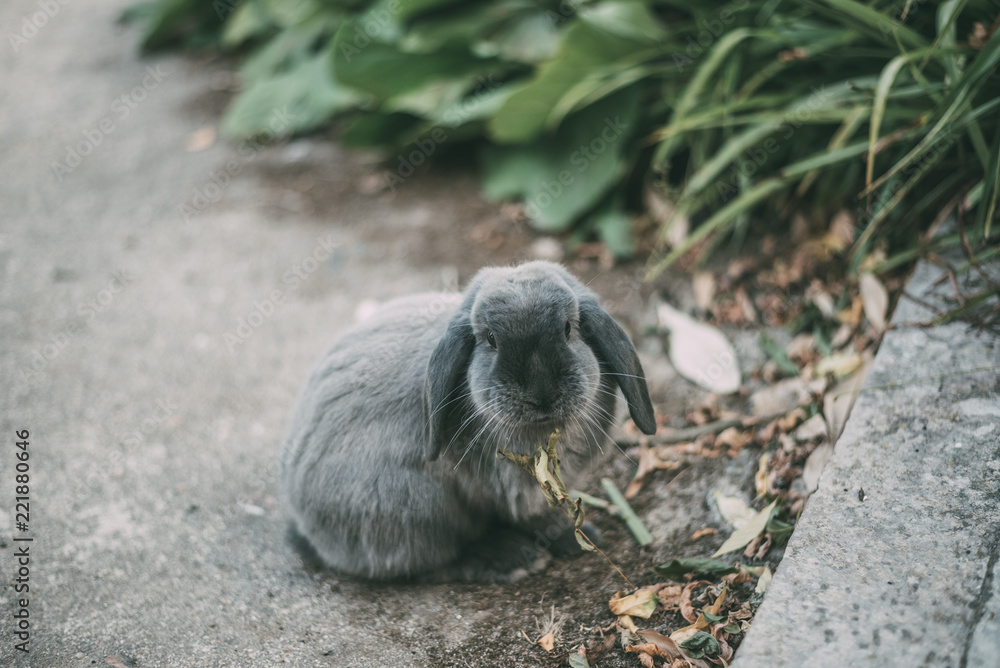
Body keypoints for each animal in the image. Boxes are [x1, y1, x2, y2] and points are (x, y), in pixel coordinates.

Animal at [279, 260, 656, 583]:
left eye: (567, 329)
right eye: (490, 339)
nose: (542, 394)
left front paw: (577, 536)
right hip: (415, 509)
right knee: (437, 558)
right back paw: (510, 558)